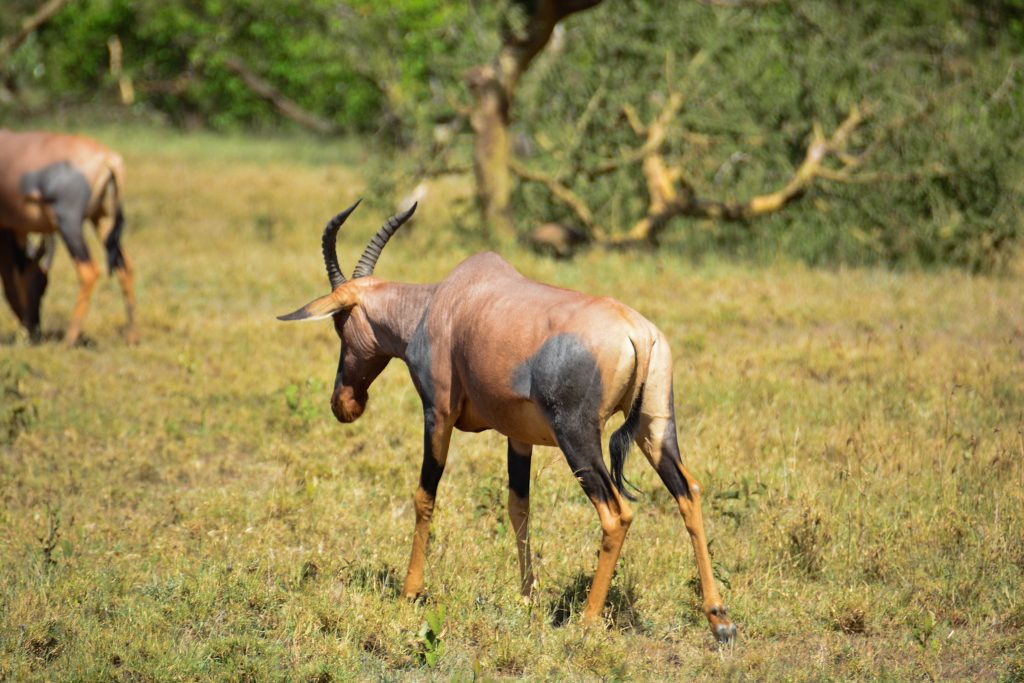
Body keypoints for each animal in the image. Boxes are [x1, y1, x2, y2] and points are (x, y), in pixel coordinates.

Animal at [0, 132, 138, 348]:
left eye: (43, 287)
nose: (36, 331)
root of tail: (108, 158)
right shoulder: (18, 227)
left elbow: (17, 272)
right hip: (101, 217)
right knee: (124, 266)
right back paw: (132, 337)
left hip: (69, 222)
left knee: (89, 270)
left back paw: (69, 340)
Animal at [278, 200, 737, 643]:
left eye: (341, 323)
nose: (344, 403)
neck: (443, 301)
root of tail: (636, 332)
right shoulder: (519, 437)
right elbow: (519, 506)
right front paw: (525, 596)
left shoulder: (437, 415)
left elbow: (425, 496)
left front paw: (410, 591)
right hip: (654, 427)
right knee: (688, 492)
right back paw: (719, 620)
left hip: (577, 437)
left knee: (616, 513)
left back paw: (587, 622)